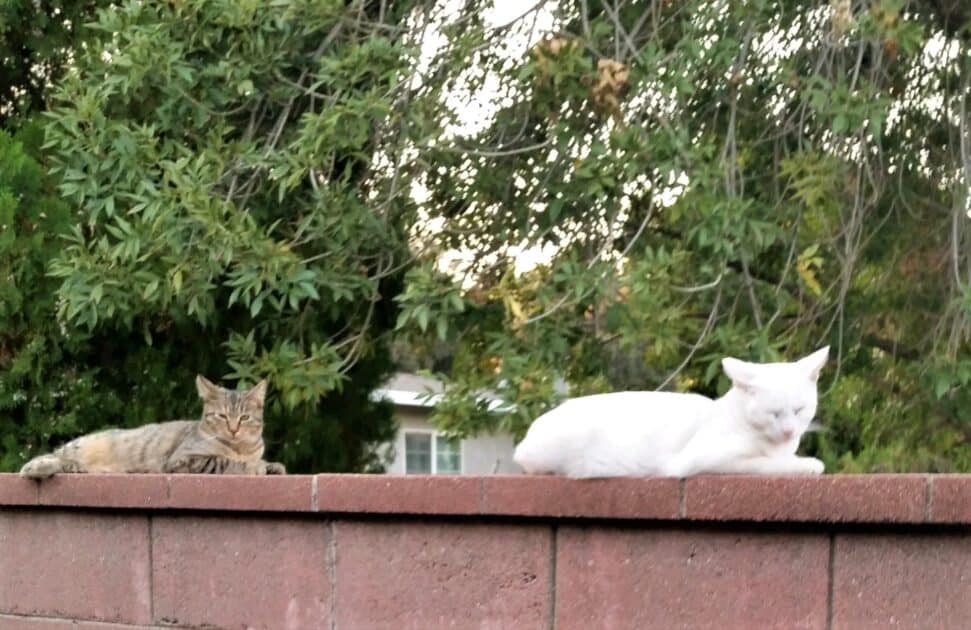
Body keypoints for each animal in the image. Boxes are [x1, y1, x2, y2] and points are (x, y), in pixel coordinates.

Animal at [19, 378, 284, 482]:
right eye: (222, 416)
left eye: (245, 417)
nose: (233, 429)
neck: (240, 448)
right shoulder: (185, 460)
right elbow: (223, 461)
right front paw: (253, 467)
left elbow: (265, 461)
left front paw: (272, 466)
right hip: (79, 446)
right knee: (53, 456)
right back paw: (35, 468)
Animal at [512, 348, 832, 476]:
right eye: (773, 413)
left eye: (800, 410)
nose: (789, 431)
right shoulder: (705, 459)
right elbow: (764, 464)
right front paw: (807, 465)